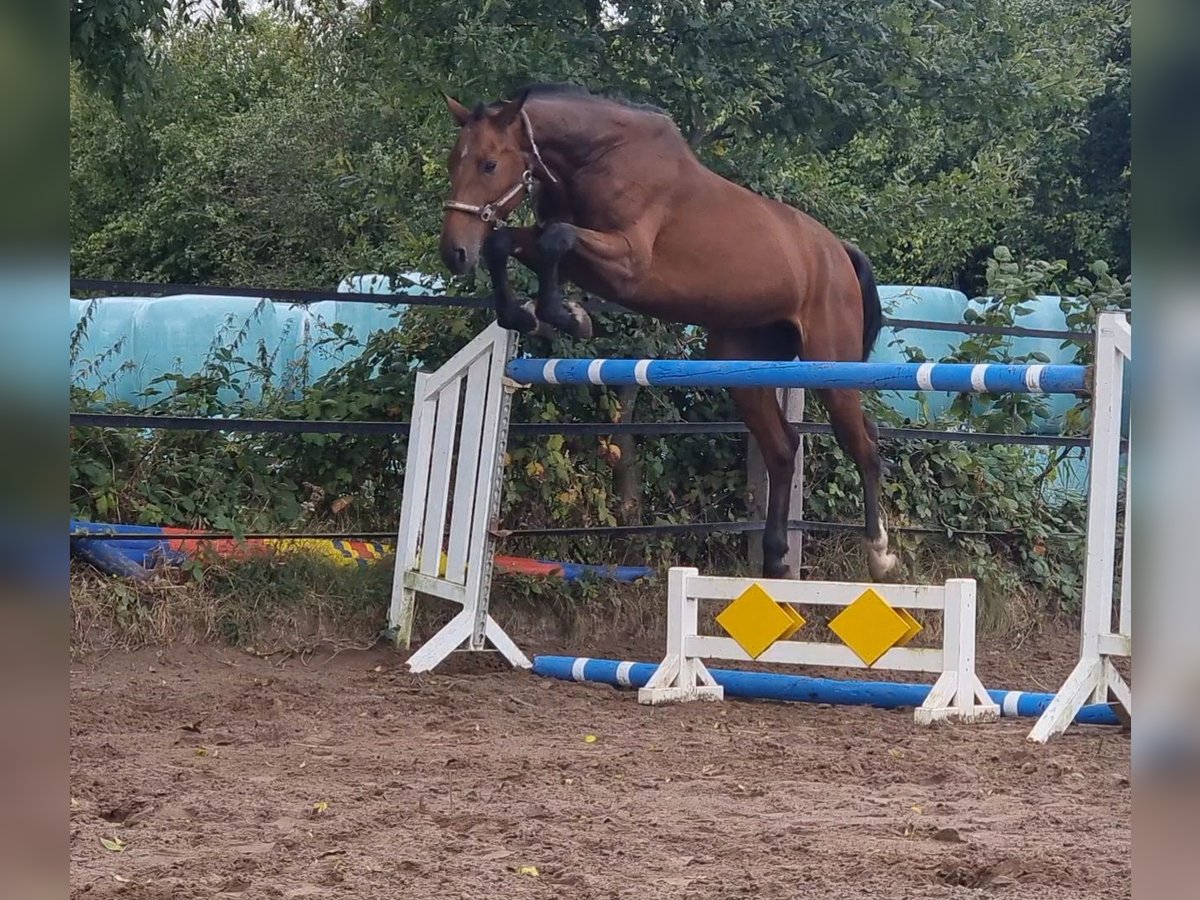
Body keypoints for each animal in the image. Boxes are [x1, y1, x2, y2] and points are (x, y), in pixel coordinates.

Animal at [436, 84, 897, 585]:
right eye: (453, 161)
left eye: (489, 164)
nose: (454, 253)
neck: (596, 157)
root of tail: (839, 251)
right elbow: (512, 242)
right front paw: (527, 316)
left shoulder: (628, 262)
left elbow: (556, 237)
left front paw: (567, 315)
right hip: (743, 366)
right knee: (782, 448)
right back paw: (775, 561)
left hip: (830, 367)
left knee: (863, 443)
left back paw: (879, 554)